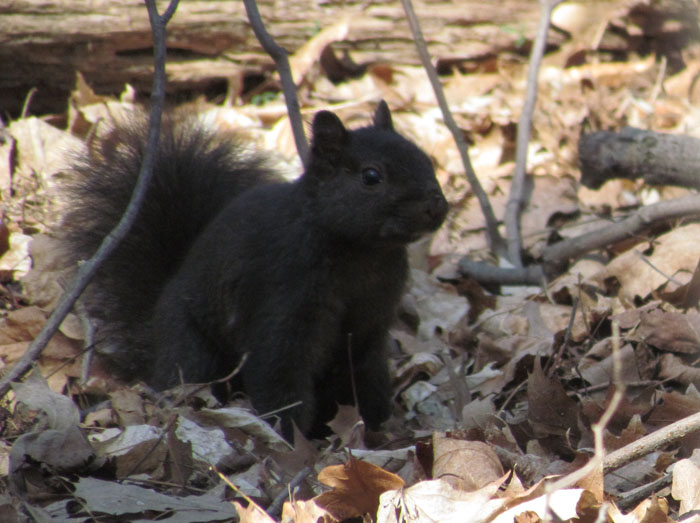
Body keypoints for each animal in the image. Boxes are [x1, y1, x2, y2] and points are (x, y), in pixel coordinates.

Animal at [64, 101, 448, 438]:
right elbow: (278, 372)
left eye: (424, 158)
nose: (436, 206)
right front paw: (289, 437)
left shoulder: (371, 322)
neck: (363, 254)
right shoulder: (282, 299)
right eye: (371, 176)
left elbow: (366, 374)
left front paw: (379, 426)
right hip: (192, 348)